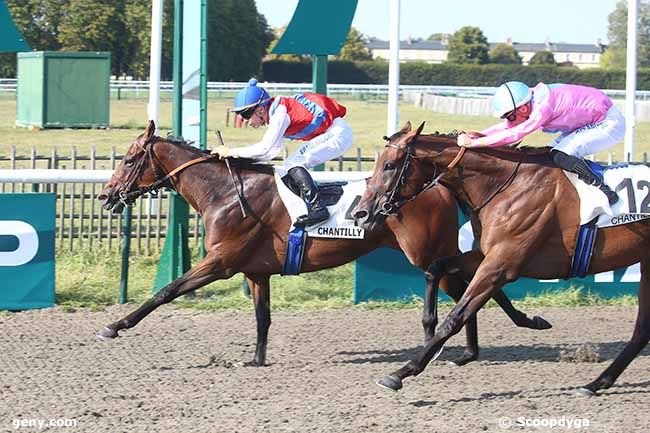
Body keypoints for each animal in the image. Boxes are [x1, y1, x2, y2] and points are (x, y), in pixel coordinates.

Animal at [96, 120, 548, 366]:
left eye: (130, 159)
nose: (105, 195)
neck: (224, 193)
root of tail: (437, 184)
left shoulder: (220, 262)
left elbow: (166, 291)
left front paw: (115, 325)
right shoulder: (256, 271)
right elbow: (262, 318)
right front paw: (256, 359)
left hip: (426, 250)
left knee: (472, 278)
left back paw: (511, 327)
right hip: (432, 251)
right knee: (470, 282)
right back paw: (474, 347)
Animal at [352, 120, 648, 394]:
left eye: (390, 165)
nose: (361, 214)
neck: (506, 186)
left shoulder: (502, 264)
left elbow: (455, 317)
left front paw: (402, 372)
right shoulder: (486, 254)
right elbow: (436, 268)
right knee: (641, 331)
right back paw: (597, 382)